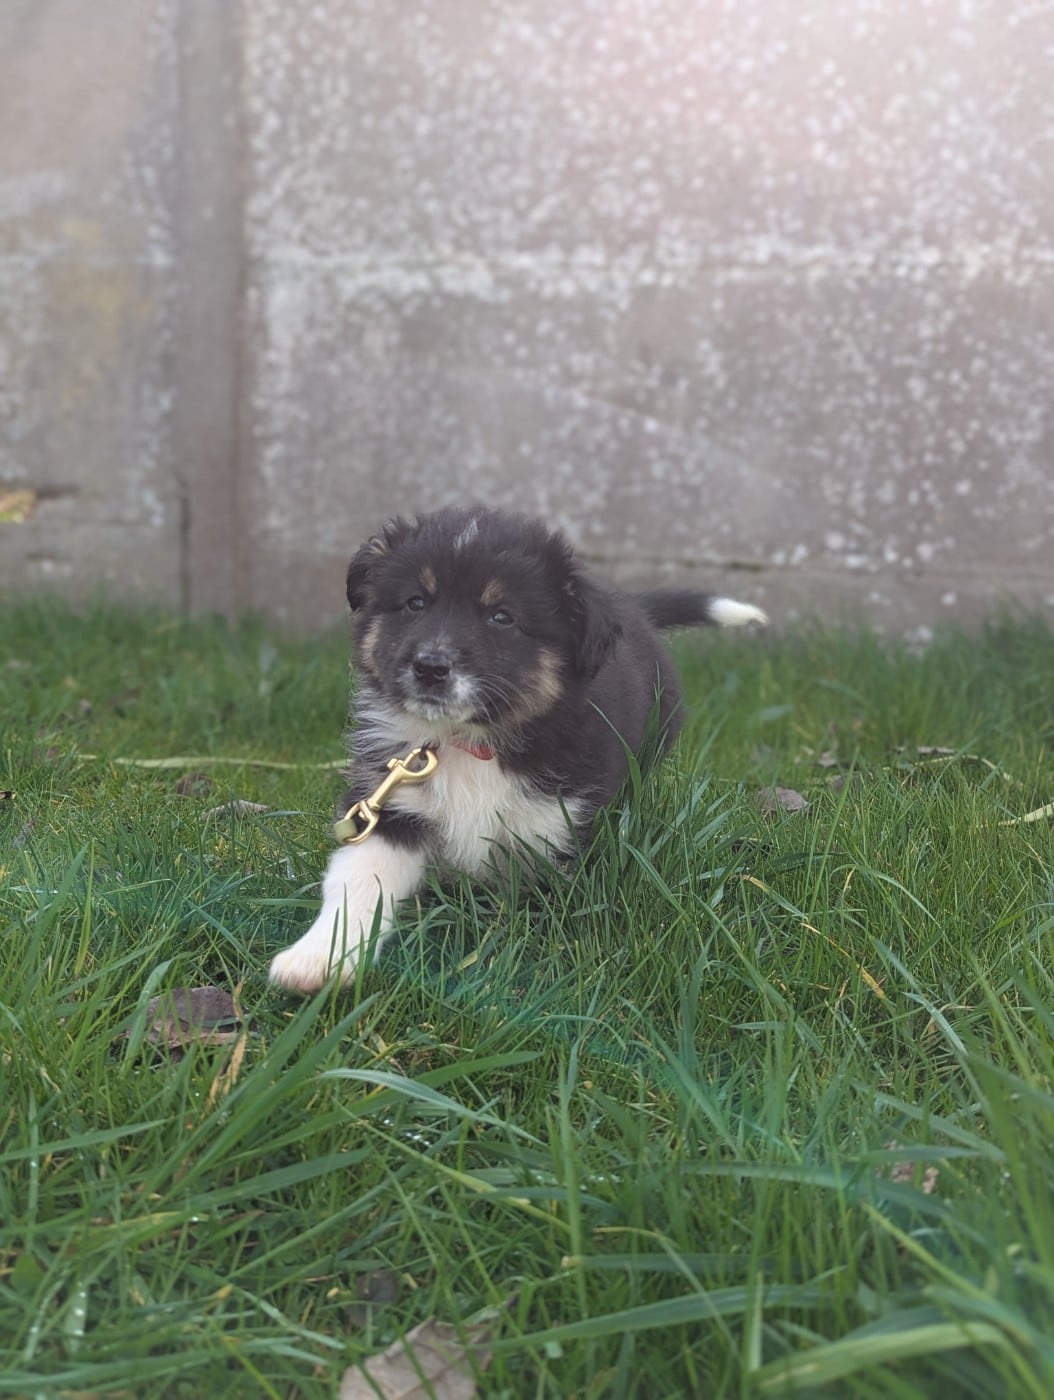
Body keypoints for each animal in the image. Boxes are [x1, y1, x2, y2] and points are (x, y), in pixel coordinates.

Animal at [269, 506, 766, 993]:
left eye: (501, 616)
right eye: (415, 603)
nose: (430, 667)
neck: (473, 743)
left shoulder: (559, 831)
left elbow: (551, 919)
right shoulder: (390, 803)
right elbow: (357, 880)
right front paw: (318, 959)